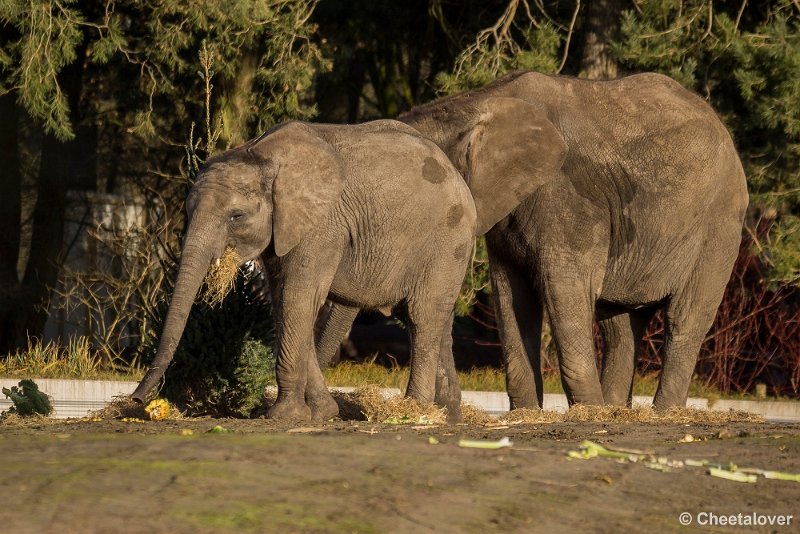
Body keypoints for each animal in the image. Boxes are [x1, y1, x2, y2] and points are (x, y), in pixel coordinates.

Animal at [131, 118, 560, 422]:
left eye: (236, 216)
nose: (136, 401)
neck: (262, 156)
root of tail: (456, 176)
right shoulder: (286, 231)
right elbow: (287, 305)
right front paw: (322, 413)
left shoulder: (323, 226)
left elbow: (300, 297)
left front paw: (283, 417)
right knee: (433, 322)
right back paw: (446, 416)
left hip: (447, 241)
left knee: (422, 318)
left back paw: (412, 412)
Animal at [316, 71, 748, 412]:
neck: (474, 105)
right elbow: (512, 297)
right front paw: (529, 412)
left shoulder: (568, 194)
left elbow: (565, 290)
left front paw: (587, 414)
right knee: (619, 325)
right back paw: (617, 410)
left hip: (720, 222)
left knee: (684, 318)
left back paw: (660, 413)